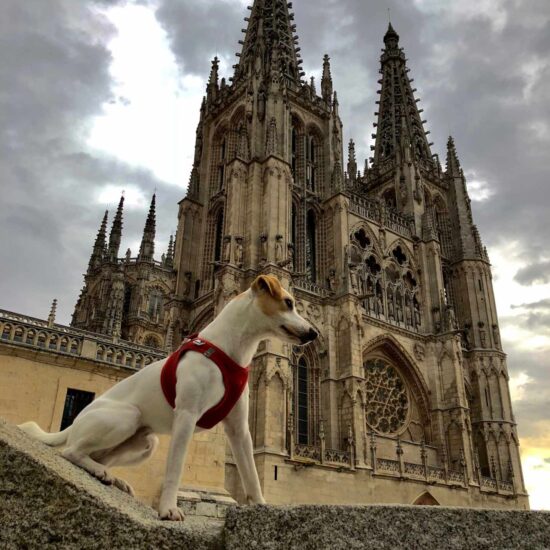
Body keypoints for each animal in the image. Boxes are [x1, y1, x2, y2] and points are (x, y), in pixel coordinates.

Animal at [18, 276, 320, 520]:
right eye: (288, 302)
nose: (314, 333)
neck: (230, 350)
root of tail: (73, 425)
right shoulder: (186, 417)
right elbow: (175, 468)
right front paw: (168, 510)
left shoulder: (239, 429)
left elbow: (252, 473)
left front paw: (261, 507)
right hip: (127, 418)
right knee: (70, 451)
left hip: (145, 442)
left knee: (93, 455)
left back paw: (111, 477)